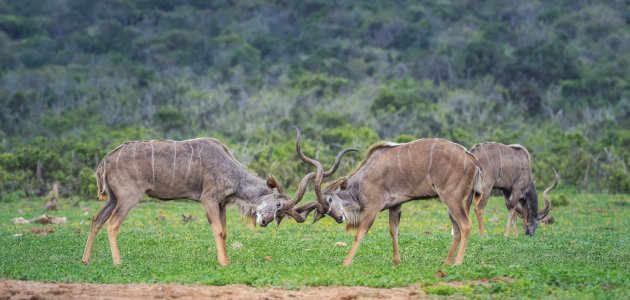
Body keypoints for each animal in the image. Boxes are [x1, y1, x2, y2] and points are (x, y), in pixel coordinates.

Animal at [83, 136, 326, 264]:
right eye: (278, 205)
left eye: (281, 214)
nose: (264, 222)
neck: (229, 169)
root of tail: (106, 160)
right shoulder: (208, 200)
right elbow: (217, 230)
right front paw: (224, 263)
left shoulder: (221, 204)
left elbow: (224, 231)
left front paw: (225, 260)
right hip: (128, 198)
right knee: (112, 224)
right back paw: (118, 263)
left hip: (113, 199)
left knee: (96, 219)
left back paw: (86, 260)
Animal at [292, 137, 484, 266]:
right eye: (324, 212)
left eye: (330, 200)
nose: (340, 218)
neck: (361, 181)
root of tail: (472, 160)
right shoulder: (395, 206)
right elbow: (394, 231)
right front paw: (396, 261)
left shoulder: (372, 208)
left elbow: (360, 233)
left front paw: (345, 263)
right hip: (454, 202)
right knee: (457, 229)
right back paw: (446, 262)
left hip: (450, 198)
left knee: (465, 225)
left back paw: (457, 263)